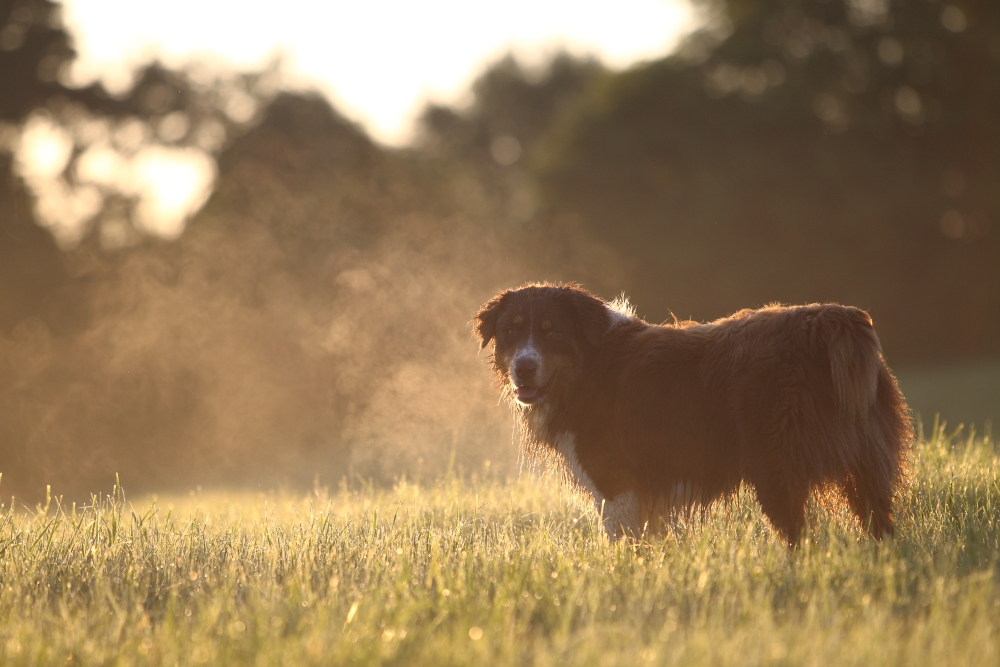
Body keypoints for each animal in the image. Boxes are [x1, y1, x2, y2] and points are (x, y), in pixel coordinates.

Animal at [476, 284, 916, 544]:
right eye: (511, 330)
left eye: (551, 331)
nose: (524, 368)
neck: (588, 365)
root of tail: (829, 318)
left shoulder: (617, 487)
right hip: (866, 465)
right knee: (881, 526)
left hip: (776, 467)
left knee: (798, 538)